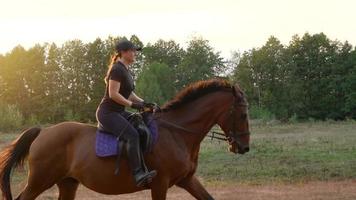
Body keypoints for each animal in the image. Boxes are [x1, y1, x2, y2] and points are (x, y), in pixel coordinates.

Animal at [0, 79, 250, 199]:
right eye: (242, 114)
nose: (244, 148)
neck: (177, 133)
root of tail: (43, 132)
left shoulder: (187, 180)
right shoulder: (160, 184)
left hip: (67, 182)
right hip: (40, 180)